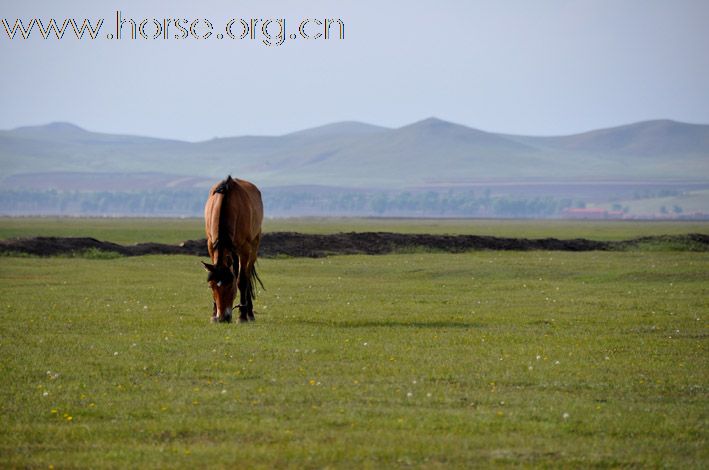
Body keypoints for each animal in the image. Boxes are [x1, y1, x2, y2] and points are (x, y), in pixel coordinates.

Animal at [202, 176, 262, 324]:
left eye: (230, 285)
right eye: (211, 286)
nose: (222, 317)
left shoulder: (244, 249)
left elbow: (242, 280)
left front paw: (242, 317)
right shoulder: (211, 245)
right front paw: (213, 314)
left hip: (254, 246)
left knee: (247, 276)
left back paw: (249, 313)